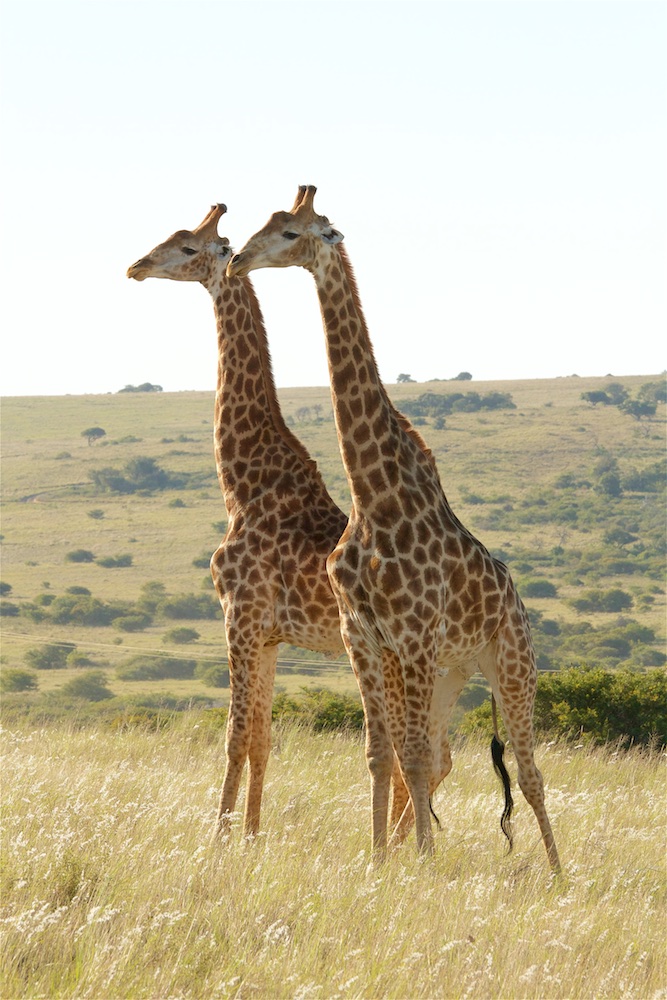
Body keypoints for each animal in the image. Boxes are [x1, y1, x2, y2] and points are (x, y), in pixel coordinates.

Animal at [230, 184, 564, 872]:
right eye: (266, 223)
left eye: (293, 233)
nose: (239, 259)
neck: (373, 496)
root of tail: (518, 602)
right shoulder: (364, 636)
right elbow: (381, 753)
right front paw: (381, 860)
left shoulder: (410, 637)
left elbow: (409, 754)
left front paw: (422, 865)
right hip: (453, 671)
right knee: (450, 755)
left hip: (511, 661)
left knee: (529, 770)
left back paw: (557, 872)